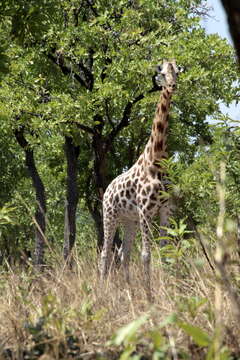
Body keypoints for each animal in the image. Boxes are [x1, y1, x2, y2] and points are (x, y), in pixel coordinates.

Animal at [100, 60, 178, 300]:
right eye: (162, 73)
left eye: (177, 71)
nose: (172, 85)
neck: (157, 157)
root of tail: (106, 190)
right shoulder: (145, 211)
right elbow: (145, 254)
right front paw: (150, 296)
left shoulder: (165, 209)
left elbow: (165, 251)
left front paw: (166, 291)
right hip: (110, 216)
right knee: (105, 253)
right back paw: (100, 290)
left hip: (129, 220)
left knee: (123, 254)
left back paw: (129, 291)